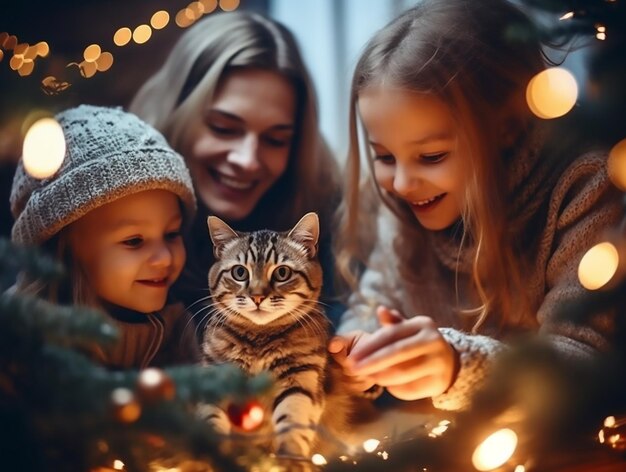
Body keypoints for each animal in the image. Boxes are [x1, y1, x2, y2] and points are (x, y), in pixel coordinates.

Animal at [200, 213, 346, 458]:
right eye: (240, 272)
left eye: (282, 272)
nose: (257, 296)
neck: (259, 338)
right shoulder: (213, 376)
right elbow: (209, 420)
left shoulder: (300, 379)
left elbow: (293, 422)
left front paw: (289, 456)